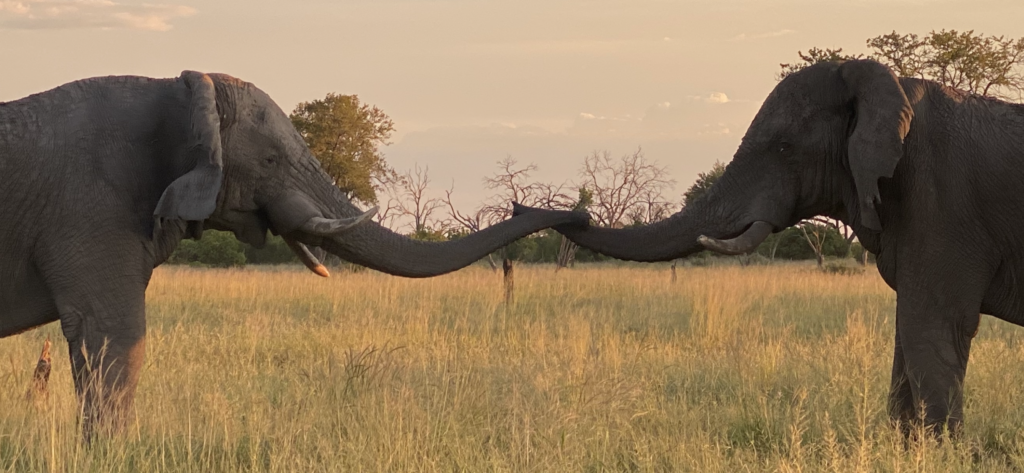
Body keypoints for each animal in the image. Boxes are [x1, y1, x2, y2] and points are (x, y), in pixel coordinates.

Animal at [520, 60, 1024, 438]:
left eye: (783, 148)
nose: (524, 208)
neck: (892, 87)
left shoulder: (941, 204)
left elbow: (931, 328)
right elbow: (909, 336)